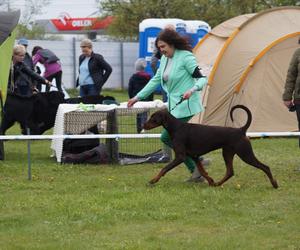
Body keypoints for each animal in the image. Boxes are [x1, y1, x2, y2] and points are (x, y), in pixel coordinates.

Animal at [143, 104, 278, 188]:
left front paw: (153, 180)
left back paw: (274, 184)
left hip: (245, 154)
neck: (176, 128)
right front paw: (211, 181)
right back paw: (218, 184)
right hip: (227, 153)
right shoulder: (194, 156)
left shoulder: (180, 156)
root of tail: (241, 130)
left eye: (153, 117)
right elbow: (203, 172)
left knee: (265, 167)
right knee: (230, 172)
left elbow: (164, 169)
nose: (143, 125)